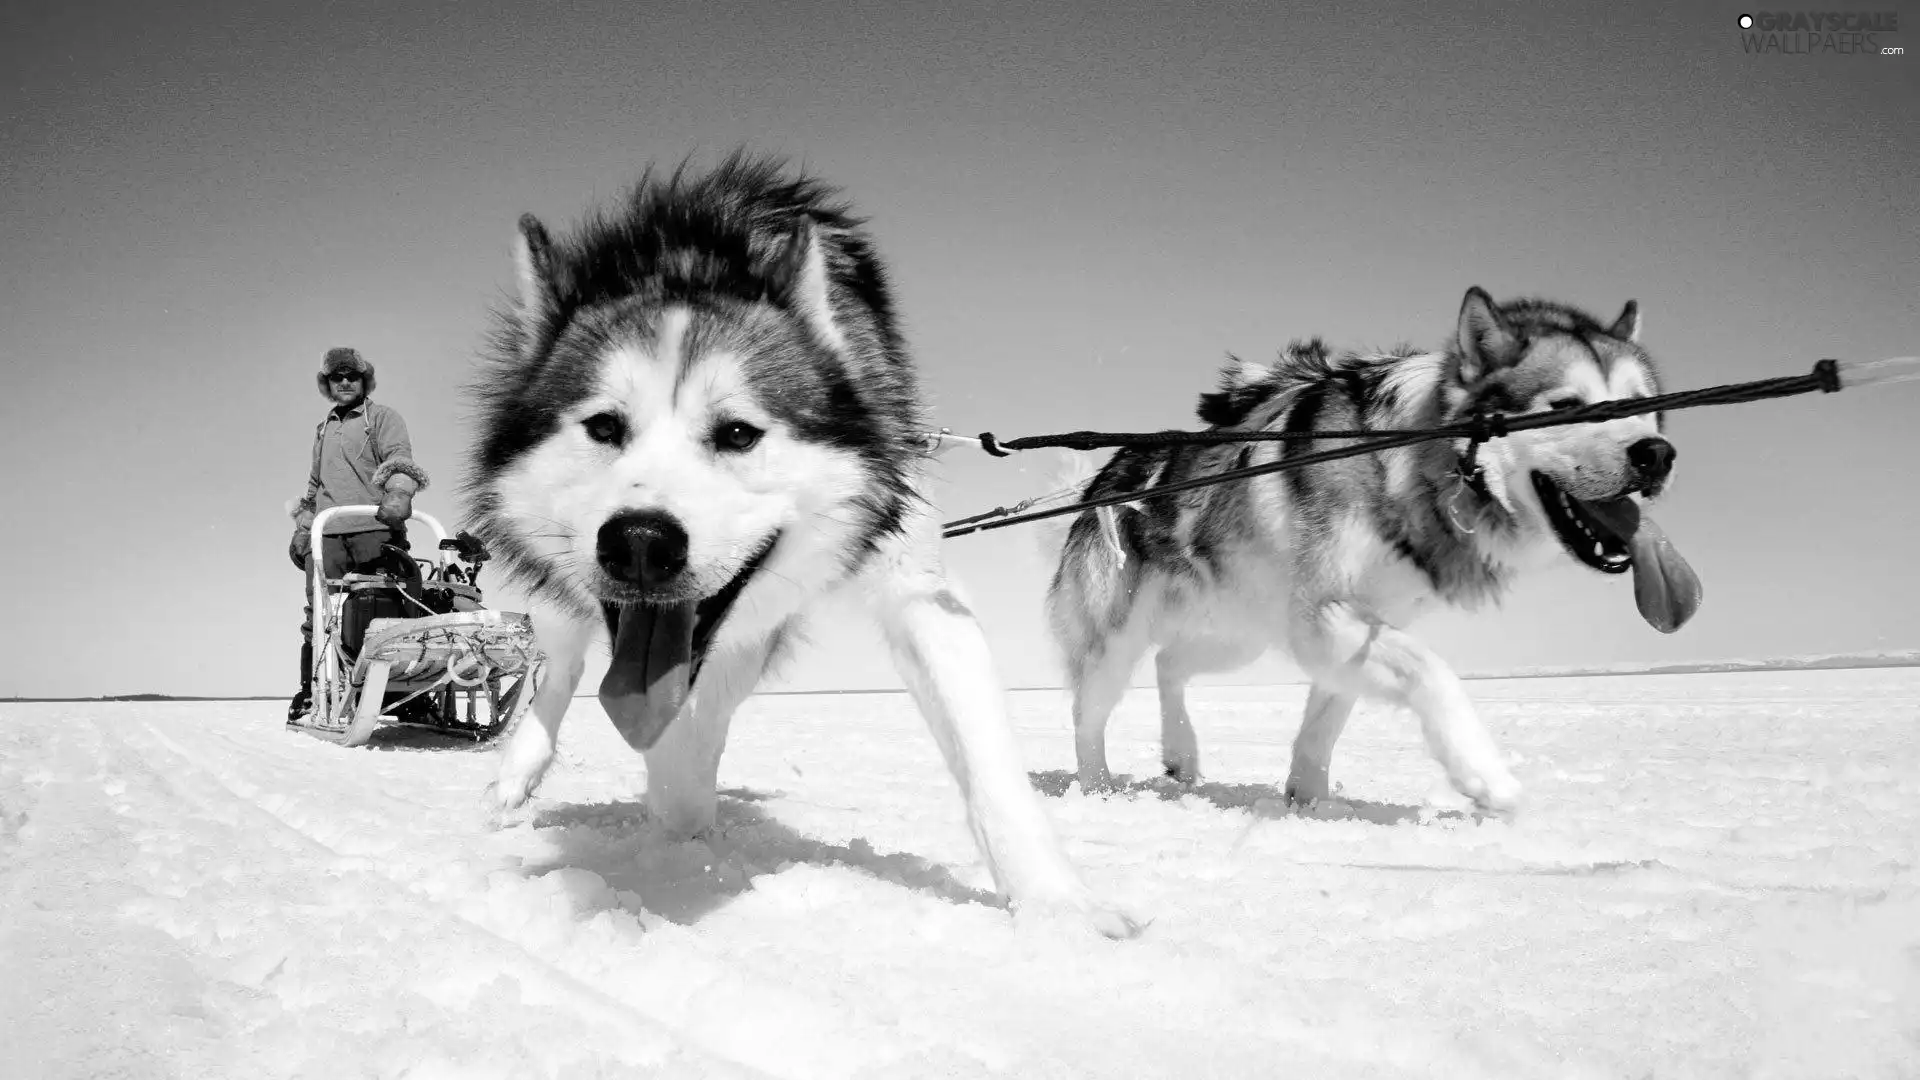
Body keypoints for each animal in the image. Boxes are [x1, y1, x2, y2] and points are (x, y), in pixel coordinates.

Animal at [466, 153, 1136, 933]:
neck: (695, 255)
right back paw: (522, 773)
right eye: (603, 426)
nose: (639, 543)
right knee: (564, 664)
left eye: (737, 433)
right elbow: (646, 732)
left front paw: (1060, 905)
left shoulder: (918, 588)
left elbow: (988, 762)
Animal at [1052, 286, 1697, 807]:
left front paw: (1309, 802)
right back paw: (1098, 788)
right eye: (1566, 407)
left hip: (1241, 632)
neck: (1412, 462)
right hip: (1119, 640)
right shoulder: (1323, 616)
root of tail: (1104, 477)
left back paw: (1182, 753)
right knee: (1087, 715)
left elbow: (1326, 722)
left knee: (1170, 663)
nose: (1656, 454)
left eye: (1642, 404)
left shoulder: (1354, 625)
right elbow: (1430, 670)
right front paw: (1484, 774)